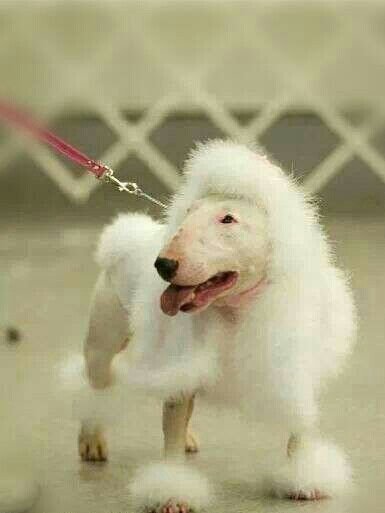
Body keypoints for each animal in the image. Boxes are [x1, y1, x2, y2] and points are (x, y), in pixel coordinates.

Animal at [72, 140, 354, 512]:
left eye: (228, 218)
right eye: (188, 213)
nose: (163, 264)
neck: (234, 310)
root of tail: (126, 238)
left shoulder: (293, 366)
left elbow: (300, 424)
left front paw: (303, 477)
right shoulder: (180, 361)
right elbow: (171, 432)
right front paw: (172, 493)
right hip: (103, 345)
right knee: (95, 389)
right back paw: (92, 439)